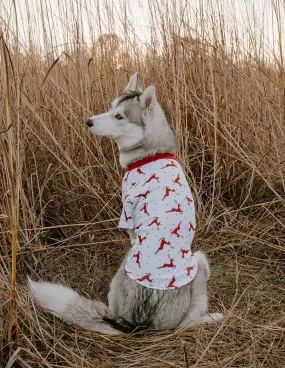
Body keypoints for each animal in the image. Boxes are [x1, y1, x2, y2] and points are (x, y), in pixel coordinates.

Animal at [27, 73, 222, 334]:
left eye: (119, 116)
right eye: (110, 108)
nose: (88, 121)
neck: (151, 153)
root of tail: (136, 324)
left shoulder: (127, 215)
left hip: (199, 261)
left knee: (185, 323)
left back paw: (209, 318)